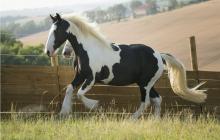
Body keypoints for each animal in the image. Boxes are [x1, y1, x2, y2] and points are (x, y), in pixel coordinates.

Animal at [44, 13, 206, 118]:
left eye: (55, 31)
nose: (48, 51)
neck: (87, 49)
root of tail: (159, 55)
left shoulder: (91, 79)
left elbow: (79, 94)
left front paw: (95, 105)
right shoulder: (80, 76)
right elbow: (69, 89)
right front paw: (63, 112)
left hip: (145, 85)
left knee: (146, 102)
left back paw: (132, 119)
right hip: (147, 83)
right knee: (157, 99)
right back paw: (154, 121)